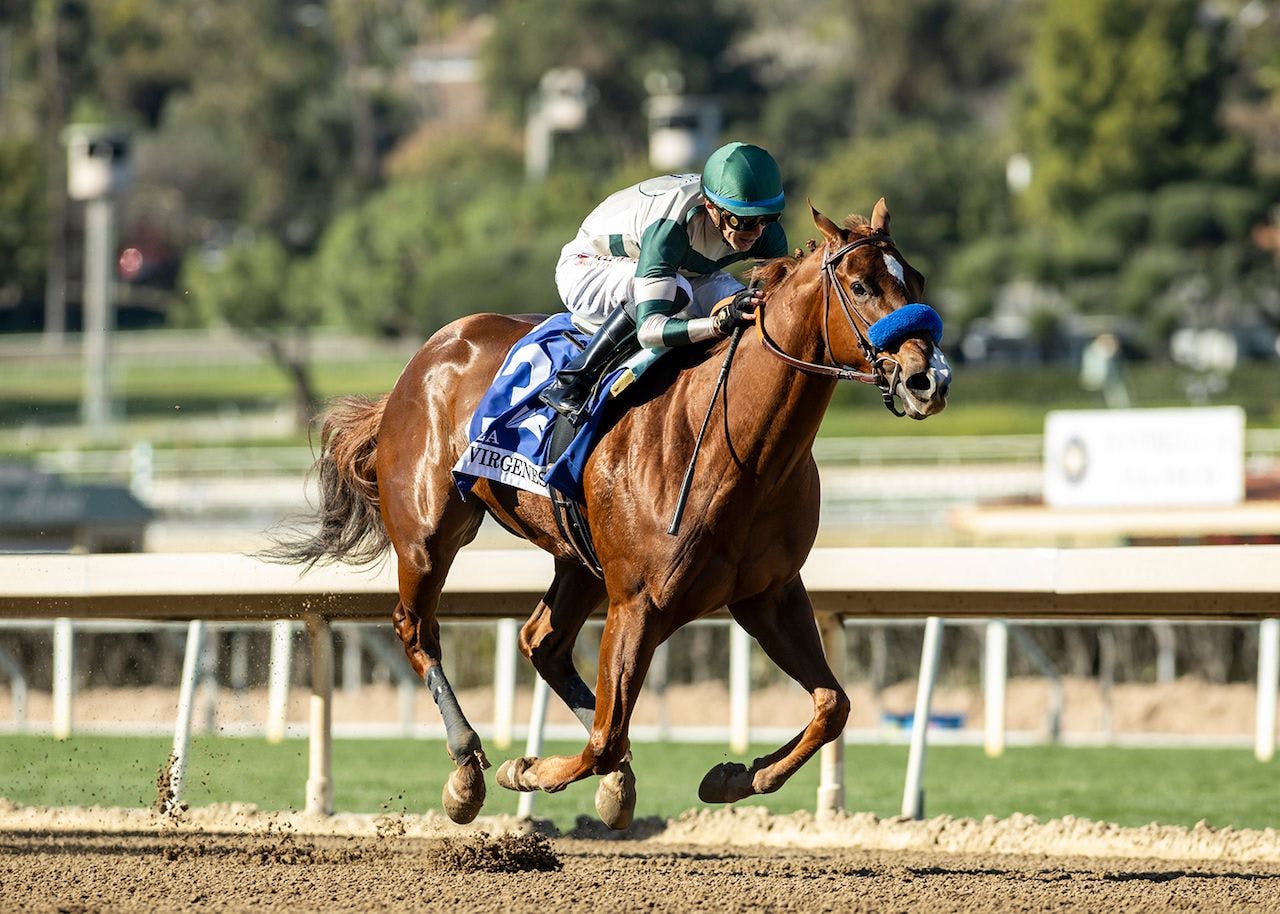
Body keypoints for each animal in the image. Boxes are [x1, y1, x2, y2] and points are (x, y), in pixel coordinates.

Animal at [272, 199, 952, 824]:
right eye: (861, 285)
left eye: (916, 280)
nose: (929, 379)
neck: (737, 444)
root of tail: (424, 359)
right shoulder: (640, 602)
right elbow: (603, 735)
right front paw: (528, 769)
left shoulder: (768, 593)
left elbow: (833, 705)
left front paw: (737, 776)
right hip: (429, 534)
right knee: (418, 628)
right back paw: (467, 767)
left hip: (579, 558)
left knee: (542, 642)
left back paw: (615, 774)